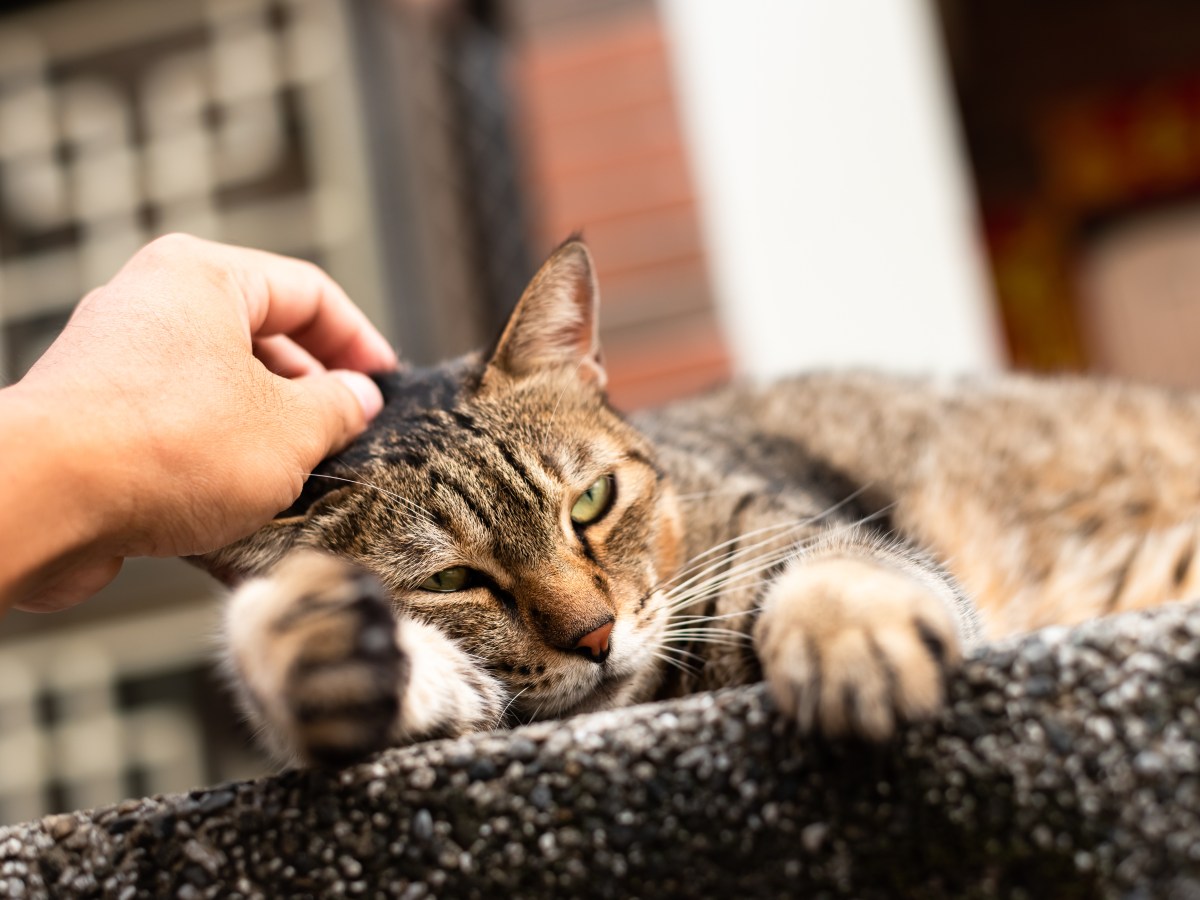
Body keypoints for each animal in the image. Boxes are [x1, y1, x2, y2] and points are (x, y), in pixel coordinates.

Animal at [201, 237, 1200, 768]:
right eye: (452, 581)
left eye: (592, 501)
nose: (595, 636)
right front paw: (301, 644)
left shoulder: (797, 526)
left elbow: (838, 566)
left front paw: (853, 640)